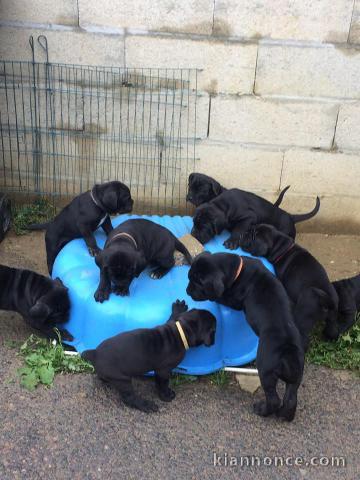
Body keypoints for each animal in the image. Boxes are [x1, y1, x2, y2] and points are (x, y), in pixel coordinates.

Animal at [82, 300, 217, 412]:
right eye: (214, 330)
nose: (214, 342)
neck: (182, 332)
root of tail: (95, 353)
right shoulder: (163, 370)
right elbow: (163, 384)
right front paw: (165, 396)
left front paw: (178, 308)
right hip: (122, 380)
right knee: (129, 398)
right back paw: (146, 405)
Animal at [187, 253, 306, 422]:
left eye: (199, 283)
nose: (187, 290)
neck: (238, 270)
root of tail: (287, 352)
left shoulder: (233, 301)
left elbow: (221, 297)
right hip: (296, 375)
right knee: (291, 398)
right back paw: (286, 416)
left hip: (266, 370)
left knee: (274, 399)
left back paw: (261, 410)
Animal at [190, 188, 320, 249]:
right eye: (194, 223)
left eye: (204, 227)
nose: (193, 234)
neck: (221, 206)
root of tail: (291, 217)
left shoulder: (248, 217)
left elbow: (239, 229)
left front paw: (231, 241)